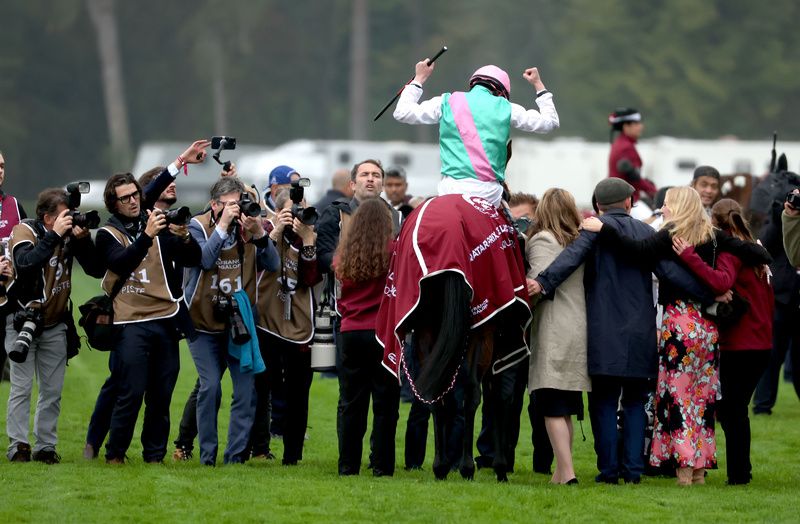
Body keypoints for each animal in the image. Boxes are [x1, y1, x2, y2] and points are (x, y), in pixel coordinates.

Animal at [406, 272, 524, 482]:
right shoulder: (498, 348)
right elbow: (498, 399)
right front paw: (500, 467)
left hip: (426, 336)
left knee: (436, 397)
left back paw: (441, 467)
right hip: (481, 336)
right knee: (472, 395)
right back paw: (468, 467)